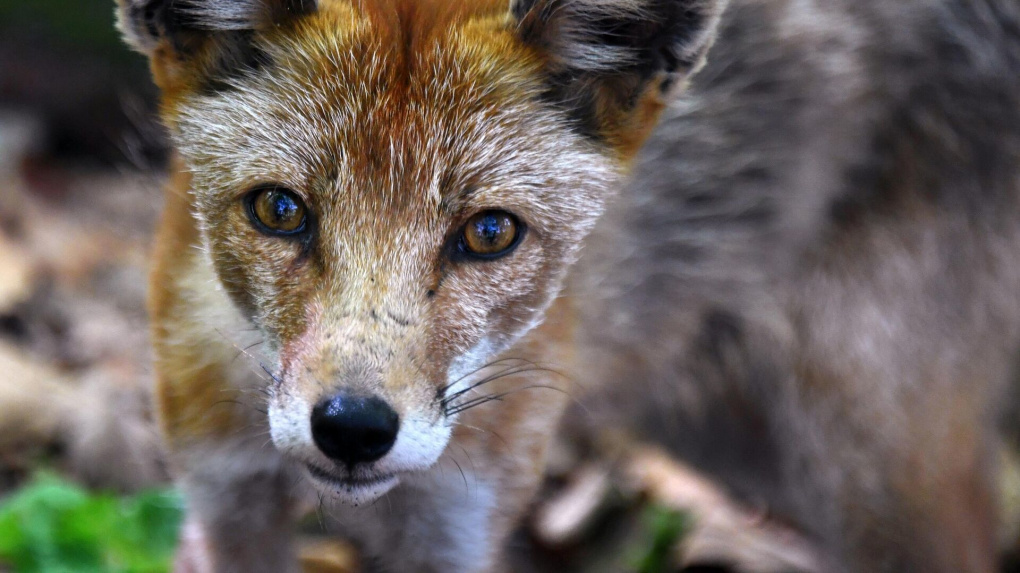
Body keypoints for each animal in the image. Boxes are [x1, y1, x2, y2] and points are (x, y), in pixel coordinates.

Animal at [115, 0, 1020, 566]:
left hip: (868, 458)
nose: (353, 427)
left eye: (489, 233)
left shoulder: (458, 527)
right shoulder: (224, 500)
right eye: (280, 210)